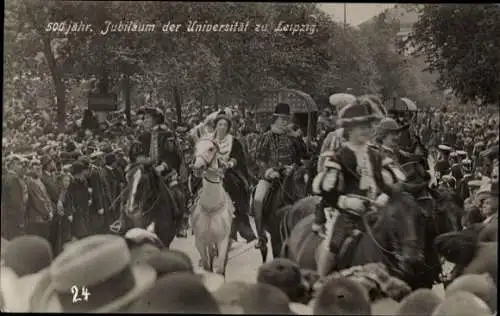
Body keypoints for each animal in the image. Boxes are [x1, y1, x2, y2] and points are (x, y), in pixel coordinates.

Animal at [190, 137, 233, 276]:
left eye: (211, 148)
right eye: (195, 148)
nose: (197, 167)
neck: (211, 208)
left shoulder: (222, 241)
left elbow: (219, 268)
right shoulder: (200, 241)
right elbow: (206, 266)